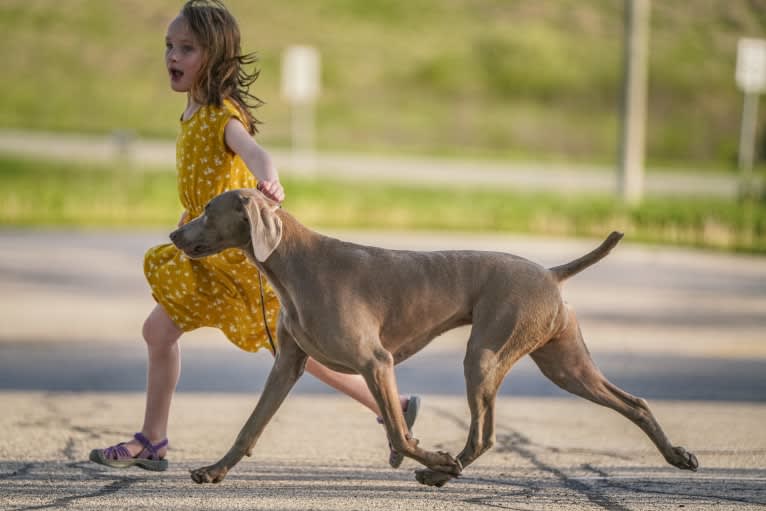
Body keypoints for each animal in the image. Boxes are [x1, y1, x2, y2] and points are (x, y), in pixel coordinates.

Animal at [171, 188, 700, 488]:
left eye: (208, 210)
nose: (174, 235)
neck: (293, 264)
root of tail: (551, 273)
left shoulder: (376, 362)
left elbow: (398, 433)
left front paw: (431, 456)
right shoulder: (288, 365)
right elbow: (251, 426)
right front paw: (214, 470)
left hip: (484, 354)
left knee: (484, 433)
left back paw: (444, 469)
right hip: (562, 362)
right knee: (633, 402)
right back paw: (677, 455)